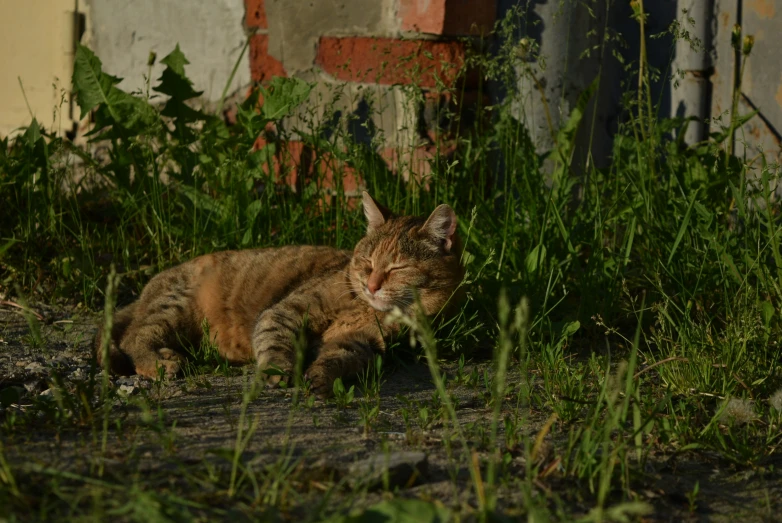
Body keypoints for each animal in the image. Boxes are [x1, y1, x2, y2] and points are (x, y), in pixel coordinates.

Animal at [97, 192, 466, 398]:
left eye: (398, 267)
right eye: (367, 261)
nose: (371, 285)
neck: (366, 309)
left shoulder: (363, 342)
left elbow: (338, 358)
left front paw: (320, 378)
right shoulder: (286, 311)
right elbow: (275, 341)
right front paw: (278, 372)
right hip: (172, 307)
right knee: (134, 337)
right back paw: (160, 363)